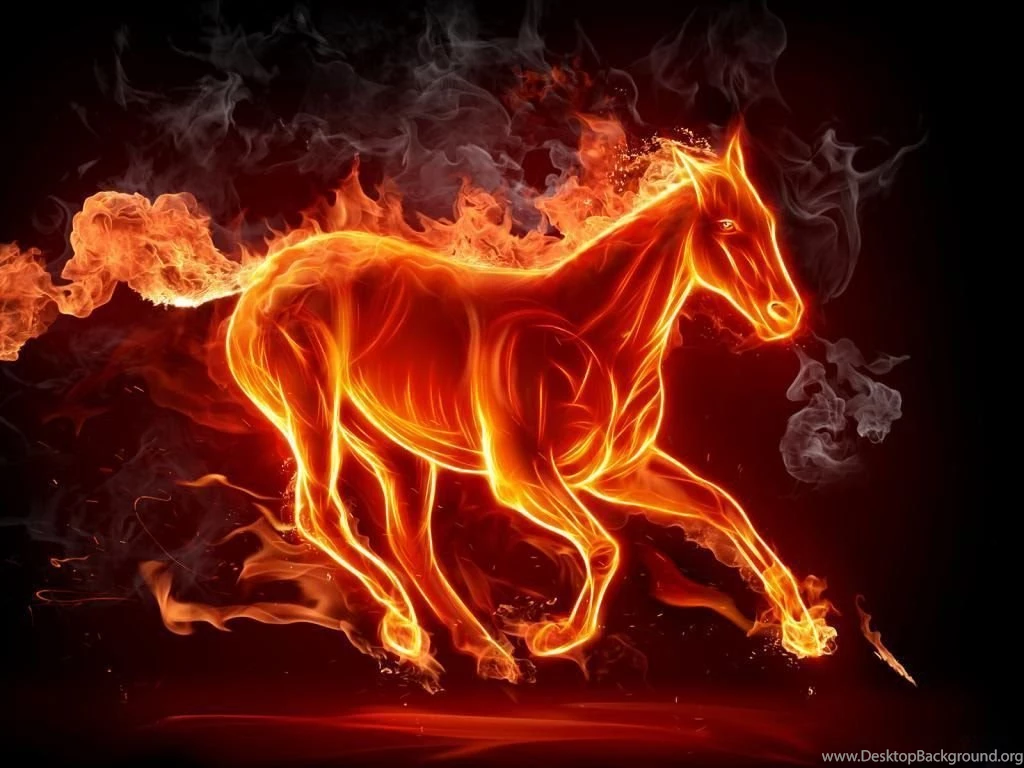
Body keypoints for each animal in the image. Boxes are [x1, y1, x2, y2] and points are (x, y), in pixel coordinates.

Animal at [223, 132, 836, 683]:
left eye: (767, 221)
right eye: (727, 227)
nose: (785, 314)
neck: (594, 332)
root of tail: (265, 280)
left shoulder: (618, 472)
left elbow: (724, 508)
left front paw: (804, 632)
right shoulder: (521, 475)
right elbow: (605, 547)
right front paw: (556, 636)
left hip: (389, 441)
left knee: (408, 539)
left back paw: (485, 650)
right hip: (310, 411)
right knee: (321, 512)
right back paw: (407, 627)